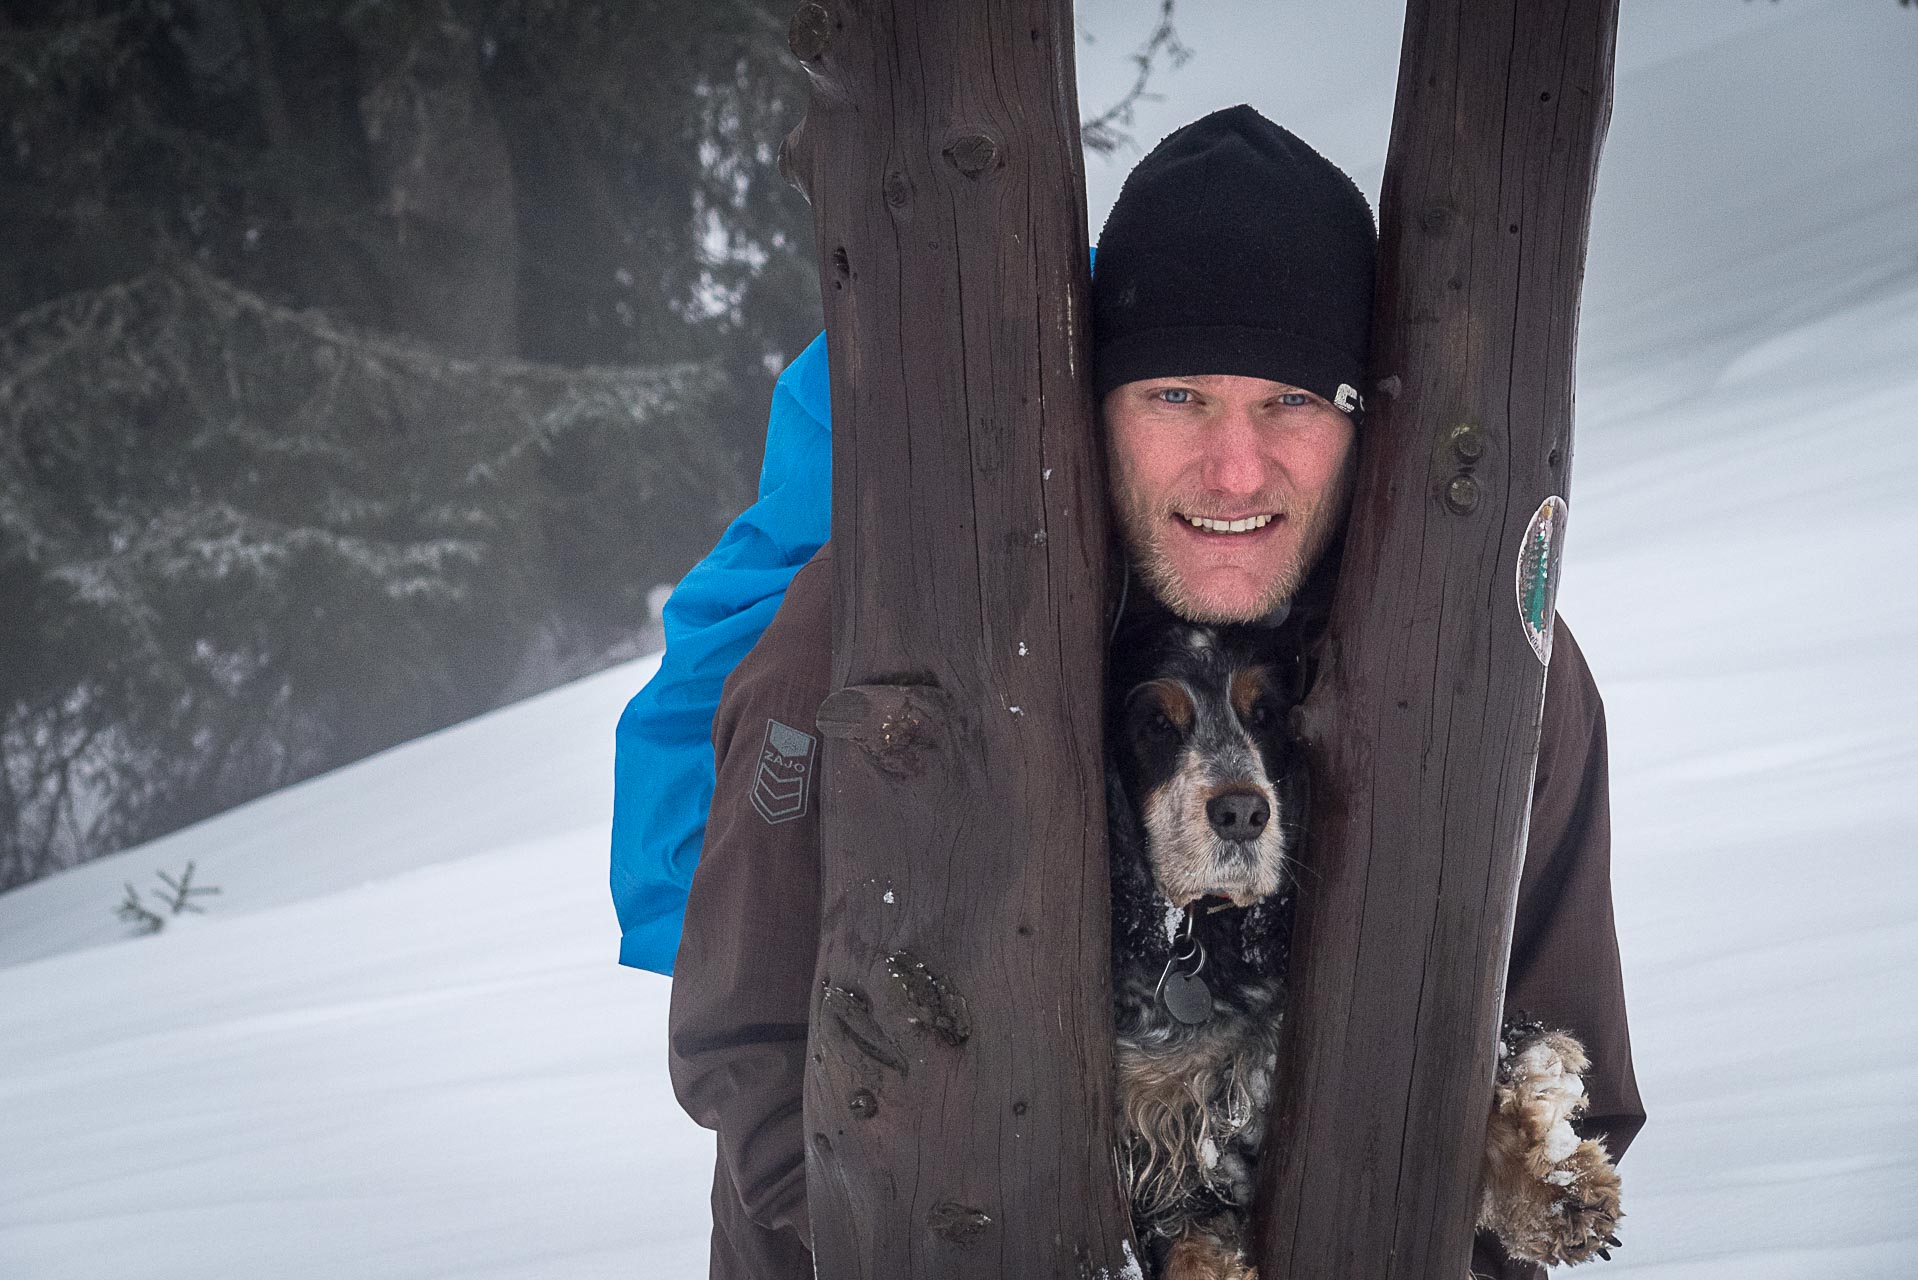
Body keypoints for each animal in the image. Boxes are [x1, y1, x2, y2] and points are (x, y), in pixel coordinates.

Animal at [1112, 614, 1618, 1280]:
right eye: (1154, 724)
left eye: (1265, 715)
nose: (1243, 812)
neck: (1203, 941)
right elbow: (1184, 1233)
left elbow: (1506, 1067)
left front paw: (1556, 1185)